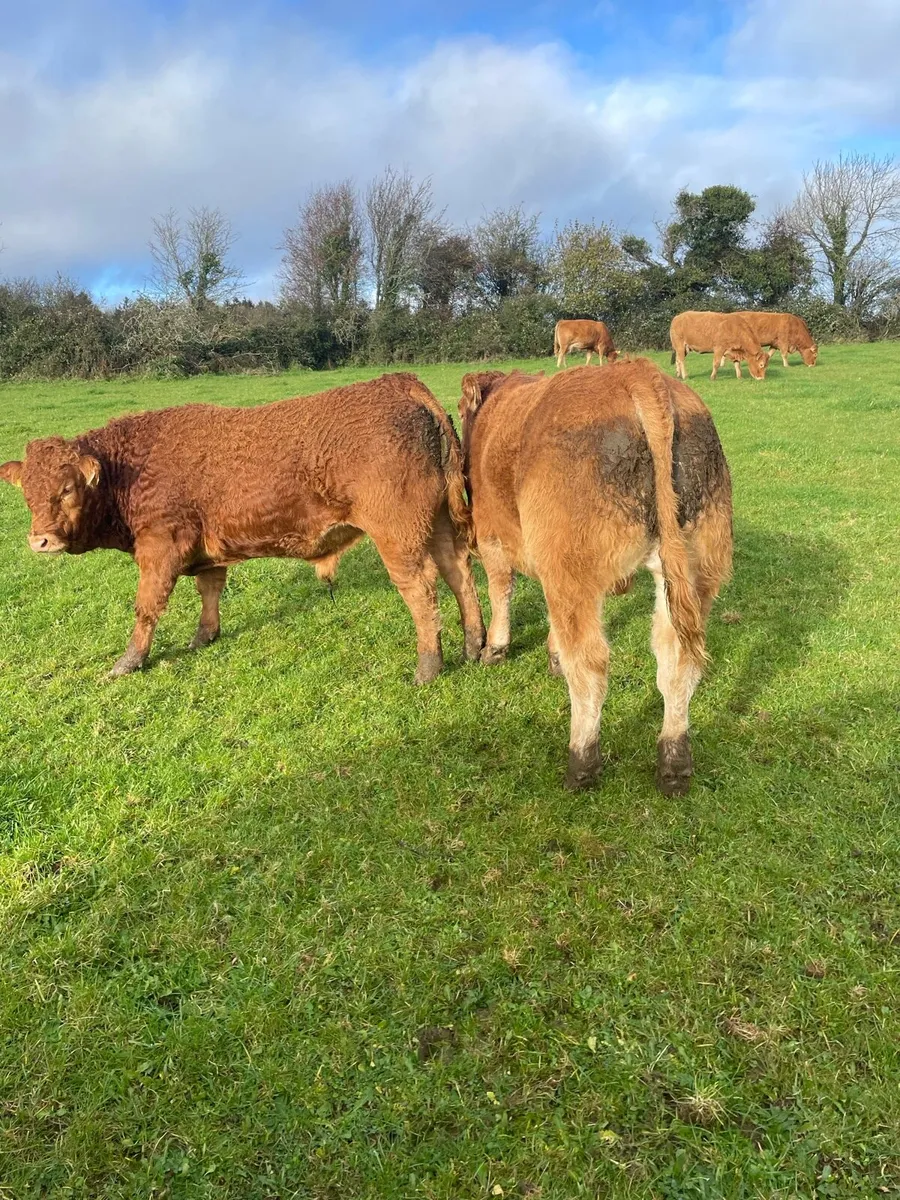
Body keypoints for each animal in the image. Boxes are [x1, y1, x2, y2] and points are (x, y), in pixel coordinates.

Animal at [0, 373, 486, 684]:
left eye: (67, 489)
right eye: (27, 493)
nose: (39, 540)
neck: (131, 469)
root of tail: (398, 382)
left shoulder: (160, 545)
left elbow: (146, 608)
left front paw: (129, 661)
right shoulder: (204, 548)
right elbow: (210, 589)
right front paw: (204, 636)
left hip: (398, 534)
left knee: (422, 589)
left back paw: (429, 667)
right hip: (438, 524)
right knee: (459, 574)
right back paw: (475, 646)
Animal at [459, 359, 732, 794]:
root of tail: (636, 372)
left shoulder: (492, 534)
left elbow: (502, 589)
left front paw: (495, 649)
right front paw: (551, 653)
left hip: (573, 569)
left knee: (590, 665)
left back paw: (582, 762)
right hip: (697, 564)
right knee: (676, 660)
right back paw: (674, 762)